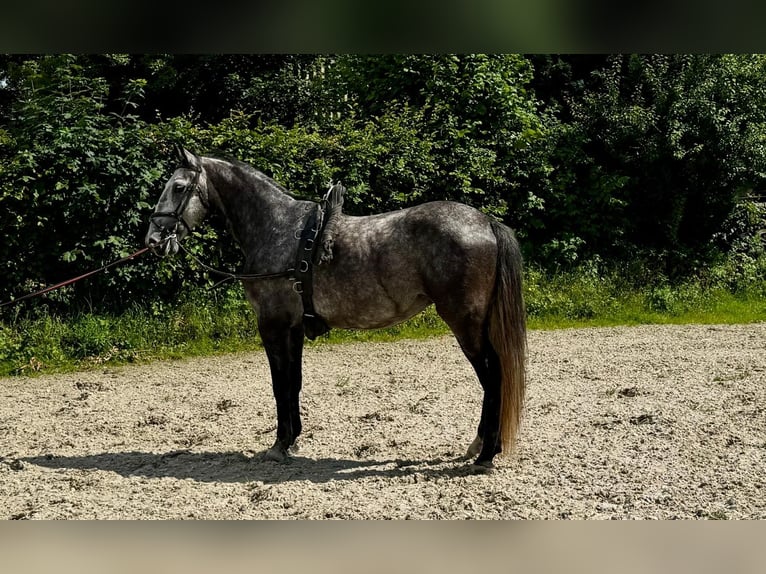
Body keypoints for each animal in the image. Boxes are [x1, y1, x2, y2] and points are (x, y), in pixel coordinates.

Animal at [145, 147, 528, 472]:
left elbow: (279, 383)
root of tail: (486, 222)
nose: (153, 240)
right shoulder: (294, 327)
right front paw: (293, 440)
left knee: (494, 377)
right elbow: (294, 382)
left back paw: (486, 454)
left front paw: (279, 445)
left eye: (178, 187)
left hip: (466, 324)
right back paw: (480, 446)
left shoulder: (272, 325)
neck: (278, 229)